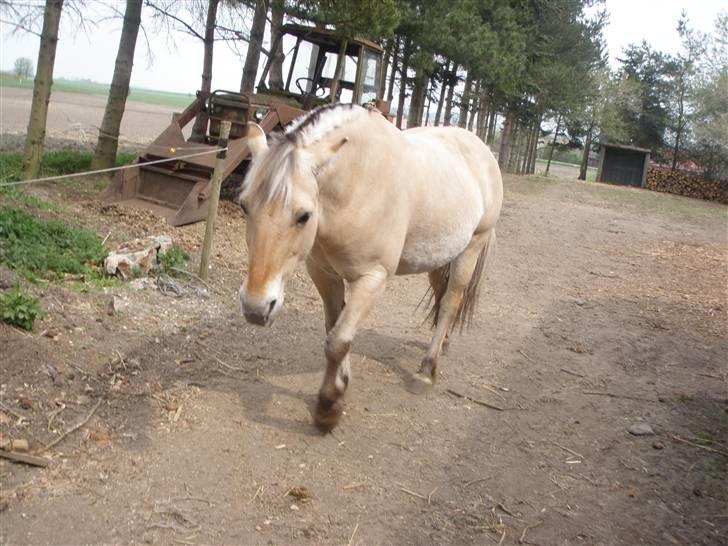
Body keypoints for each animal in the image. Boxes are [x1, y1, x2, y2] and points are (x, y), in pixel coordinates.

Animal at [236, 104, 504, 432]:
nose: (256, 307)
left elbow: (338, 341)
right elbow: (335, 329)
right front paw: (340, 386)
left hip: (472, 247)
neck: (358, 181)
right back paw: (445, 343)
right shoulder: (323, 274)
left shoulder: (372, 279)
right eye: (244, 206)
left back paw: (426, 371)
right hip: (442, 256)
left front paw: (328, 408)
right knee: (442, 298)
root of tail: (483, 150)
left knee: (452, 301)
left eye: (303, 215)